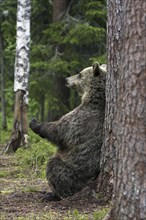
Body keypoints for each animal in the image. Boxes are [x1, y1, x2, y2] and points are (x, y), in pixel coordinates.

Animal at [29, 62, 106, 201]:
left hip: (75, 174)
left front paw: (35, 123)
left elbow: (60, 131)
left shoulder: (81, 119)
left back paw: (55, 194)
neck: (94, 98)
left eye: (80, 74)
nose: (66, 79)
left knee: (54, 166)